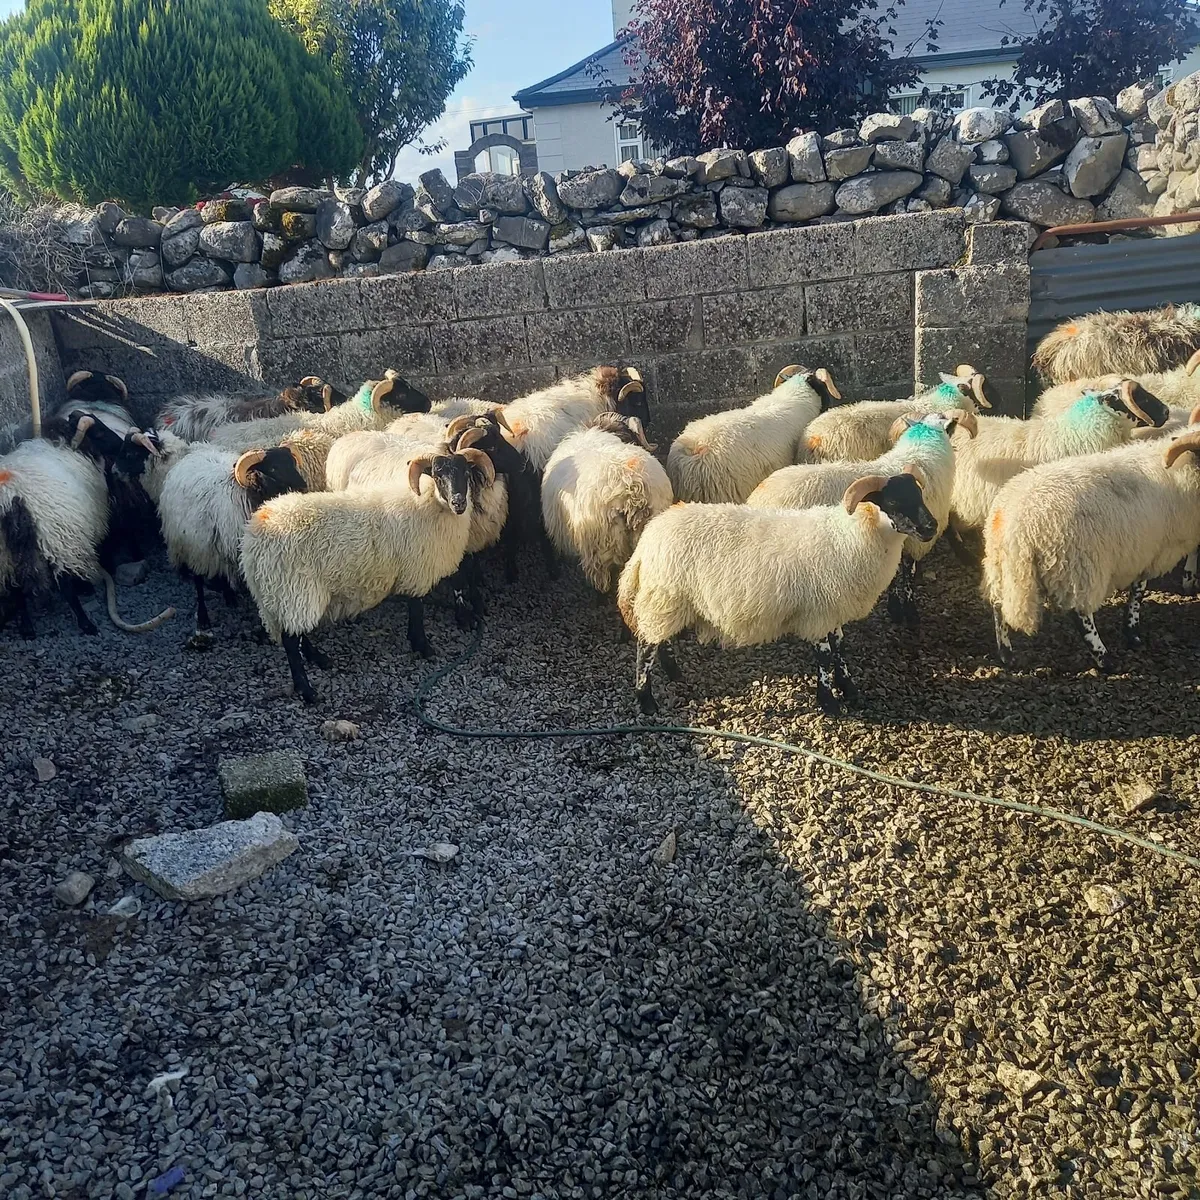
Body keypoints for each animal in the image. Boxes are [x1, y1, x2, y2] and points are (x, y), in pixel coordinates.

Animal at [157, 445, 308, 637]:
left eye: (293, 463)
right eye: (274, 468)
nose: (303, 487)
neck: (246, 496)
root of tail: (192, 455)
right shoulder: (200, 549)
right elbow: (200, 583)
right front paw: (203, 618)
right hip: (192, 544)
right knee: (199, 578)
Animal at [240, 442, 495, 702]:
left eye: (466, 473)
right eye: (437, 475)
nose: (459, 503)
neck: (427, 502)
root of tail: (253, 541)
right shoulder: (415, 570)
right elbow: (417, 610)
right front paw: (422, 646)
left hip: (286, 595)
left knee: (297, 632)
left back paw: (318, 658)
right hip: (292, 589)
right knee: (291, 641)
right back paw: (307, 691)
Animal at [616, 467, 938, 716]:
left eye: (919, 495)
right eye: (894, 500)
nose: (931, 527)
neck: (850, 536)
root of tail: (648, 539)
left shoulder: (833, 610)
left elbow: (840, 650)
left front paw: (849, 690)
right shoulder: (818, 612)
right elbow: (824, 657)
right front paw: (829, 703)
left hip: (667, 602)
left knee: (658, 640)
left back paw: (673, 673)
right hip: (666, 596)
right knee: (645, 647)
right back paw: (646, 702)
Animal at [747, 408, 976, 625]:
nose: (931, 527)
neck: (923, 450)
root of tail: (757, 497)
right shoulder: (913, 540)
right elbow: (907, 576)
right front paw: (908, 612)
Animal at [983, 431, 1200, 671]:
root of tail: (1014, 521)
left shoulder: (1142, 551)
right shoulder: (1150, 551)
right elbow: (1138, 590)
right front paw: (1133, 634)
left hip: (1001, 567)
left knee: (997, 606)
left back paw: (1006, 654)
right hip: (1077, 566)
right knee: (1080, 615)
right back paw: (1105, 659)